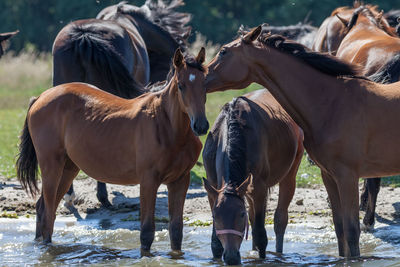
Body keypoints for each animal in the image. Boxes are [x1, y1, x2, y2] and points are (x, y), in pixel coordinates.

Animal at [14, 47, 209, 255]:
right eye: (181, 85)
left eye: (204, 84)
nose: (201, 126)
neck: (167, 126)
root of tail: (40, 98)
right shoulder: (149, 181)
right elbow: (147, 233)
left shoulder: (180, 181)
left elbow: (176, 232)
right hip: (51, 166)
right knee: (48, 212)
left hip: (68, 169)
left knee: (42, 207)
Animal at [203, 90, 304, 266]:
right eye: (215, 216)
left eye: (240, 215)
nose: (231, 257)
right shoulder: (214, 187)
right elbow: (216, 242)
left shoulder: (259, 188)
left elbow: (260, 234)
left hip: (290, 173)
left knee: (280, 219)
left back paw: (279, 254)